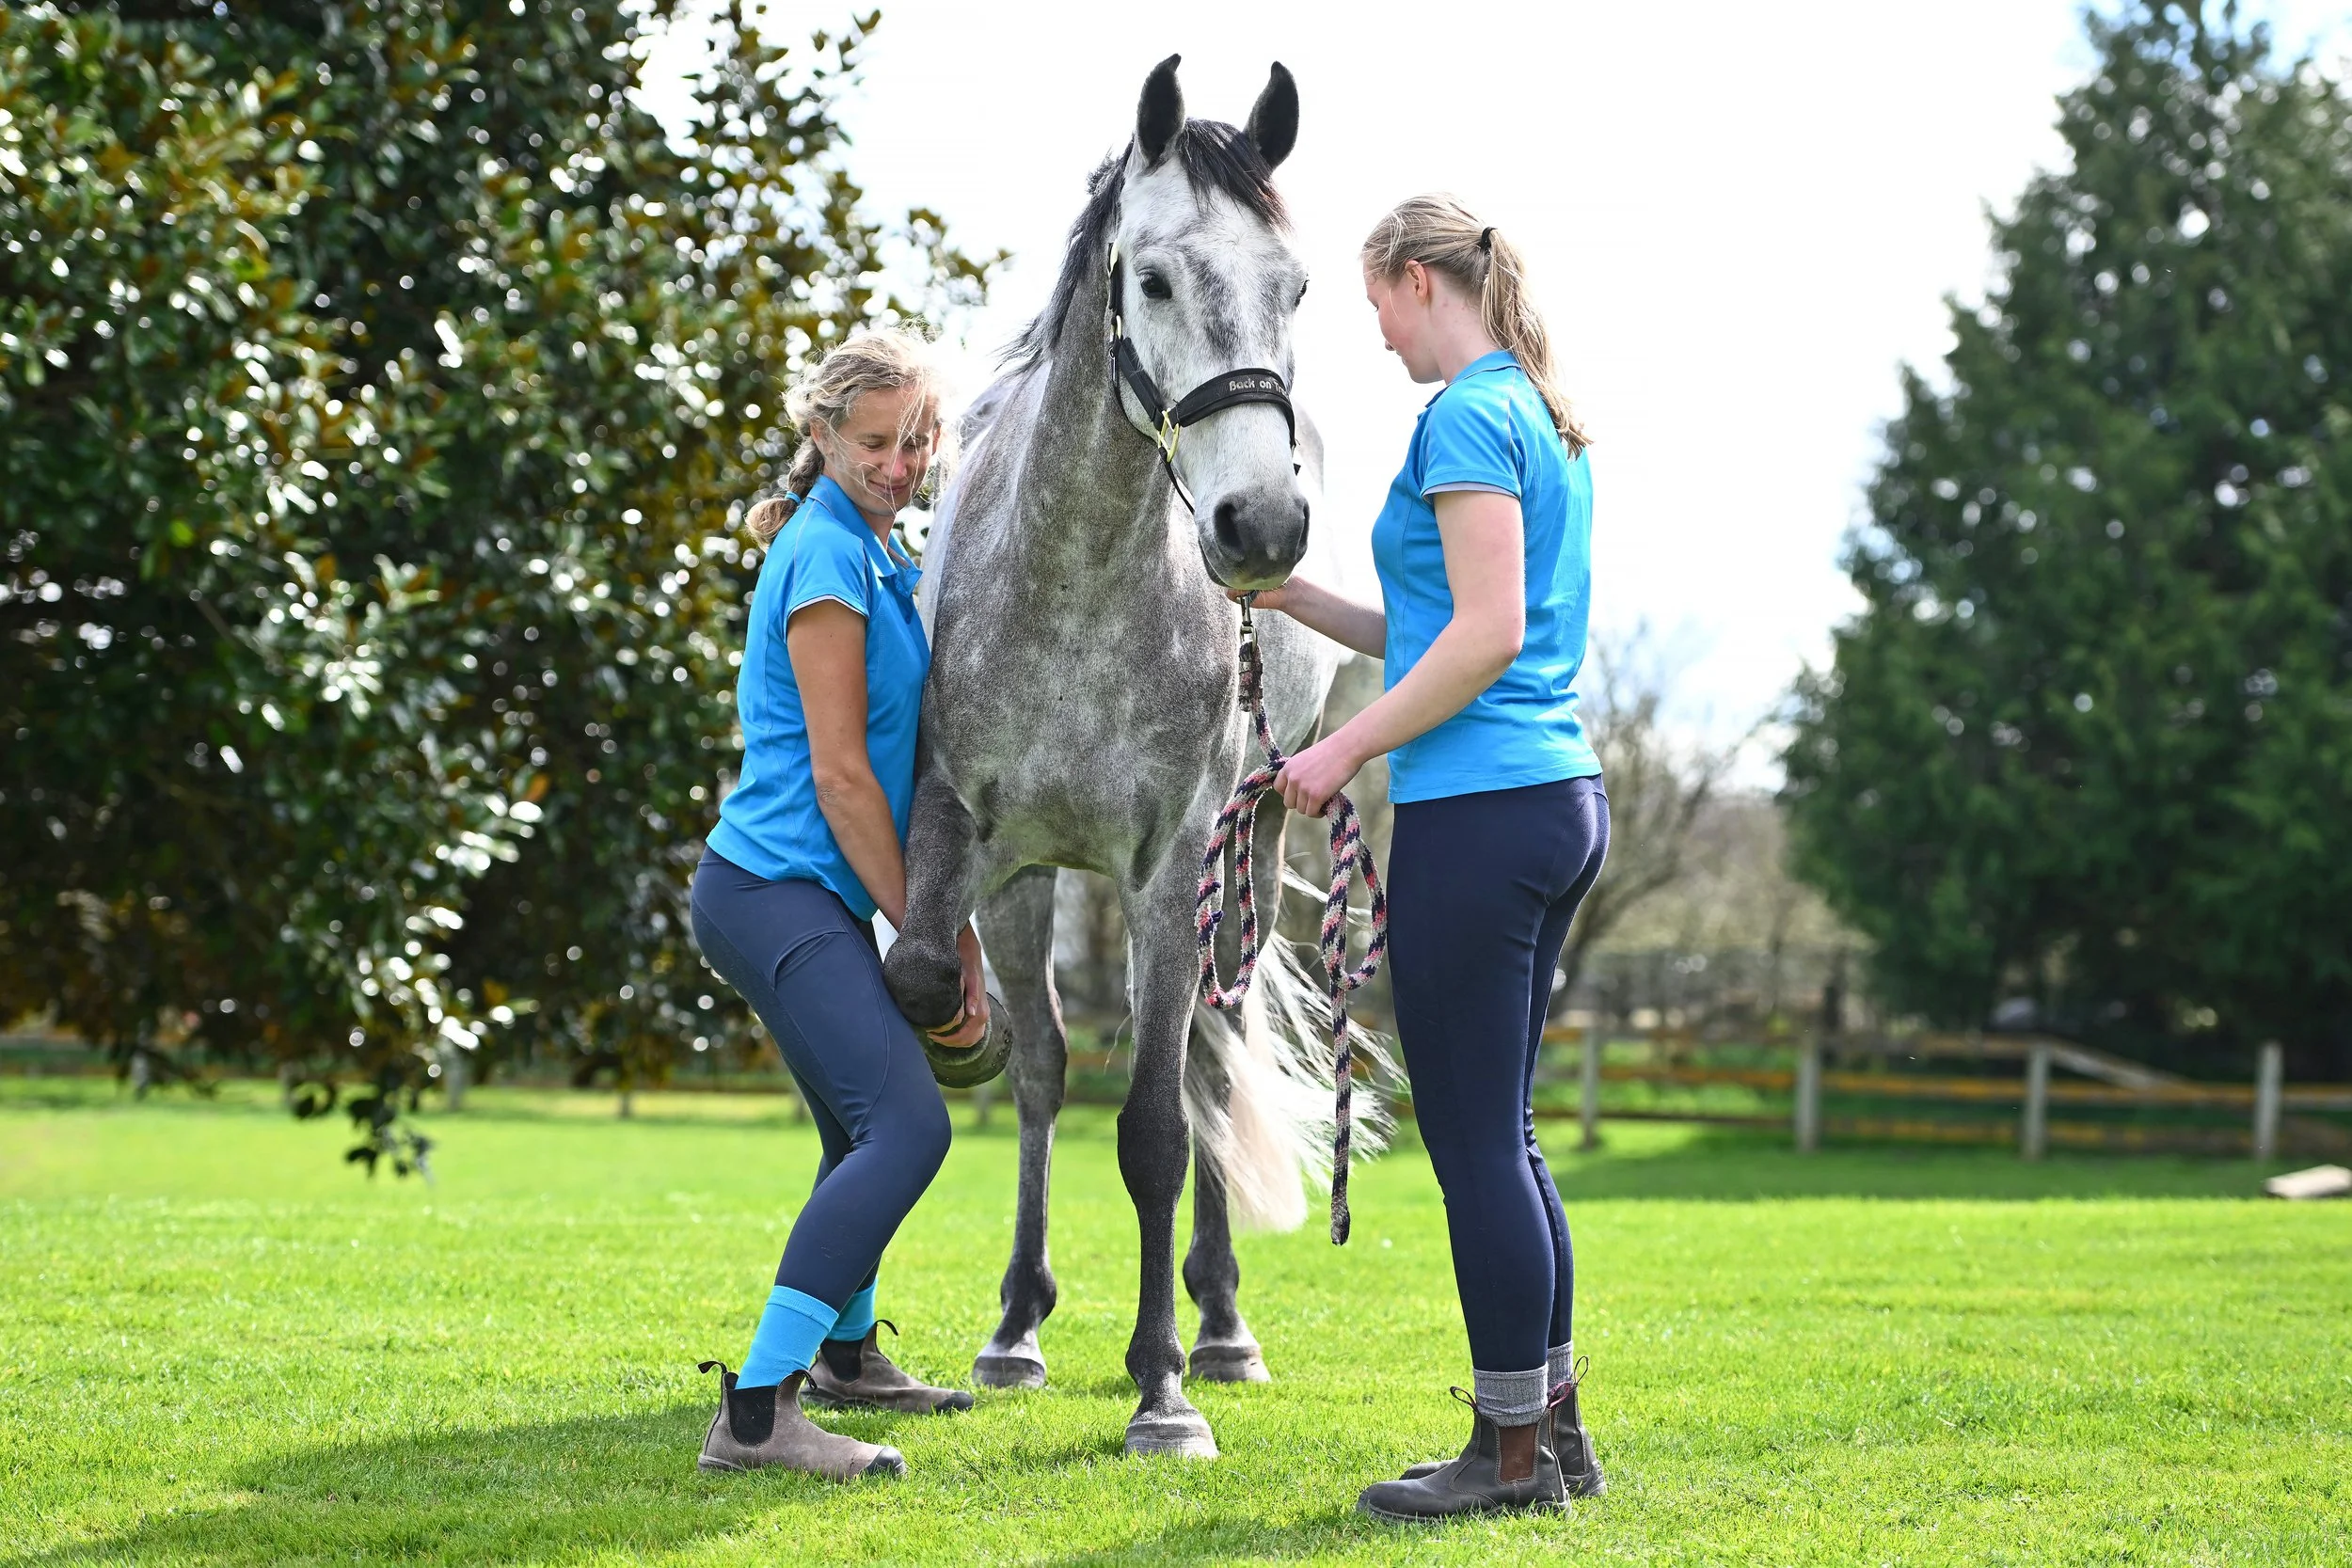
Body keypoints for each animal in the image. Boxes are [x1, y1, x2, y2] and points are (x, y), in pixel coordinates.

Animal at [880, 56, 1377, 1459]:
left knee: (1209, 1052)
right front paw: (1014, 1324)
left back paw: (1217, 1325)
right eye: (1151, 278)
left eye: (1296, 288)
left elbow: (1157, 1124)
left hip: (1250, 850)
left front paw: (1159, 1386)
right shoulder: (992, 851)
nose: (1263, 524)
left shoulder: (1169, 872)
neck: (1080, 580)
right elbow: (988, 1023)